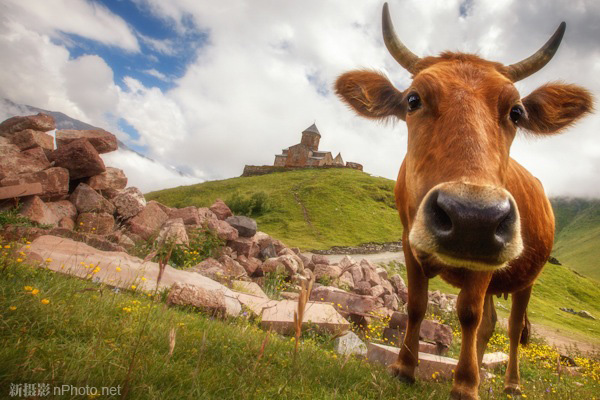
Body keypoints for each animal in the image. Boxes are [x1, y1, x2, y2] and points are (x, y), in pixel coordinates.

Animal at [336, 3, 592, 400]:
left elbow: (468, 313)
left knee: (511, 326)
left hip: (527, 276)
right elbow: (416, 305)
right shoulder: (409, 242)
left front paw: (465, 385)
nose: (472, 217)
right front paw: (404, 367)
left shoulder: (488, 255)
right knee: (489, 323)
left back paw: (509, 382)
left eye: (516, 111)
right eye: (413, 100)